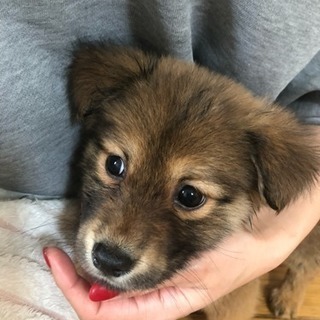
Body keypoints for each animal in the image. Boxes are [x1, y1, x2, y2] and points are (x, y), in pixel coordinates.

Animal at [69, 45, 318, 320]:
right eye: (114, 164)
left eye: (190, 196)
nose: (109, 260)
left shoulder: (235, 303)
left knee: (305, 266)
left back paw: (289, 298)